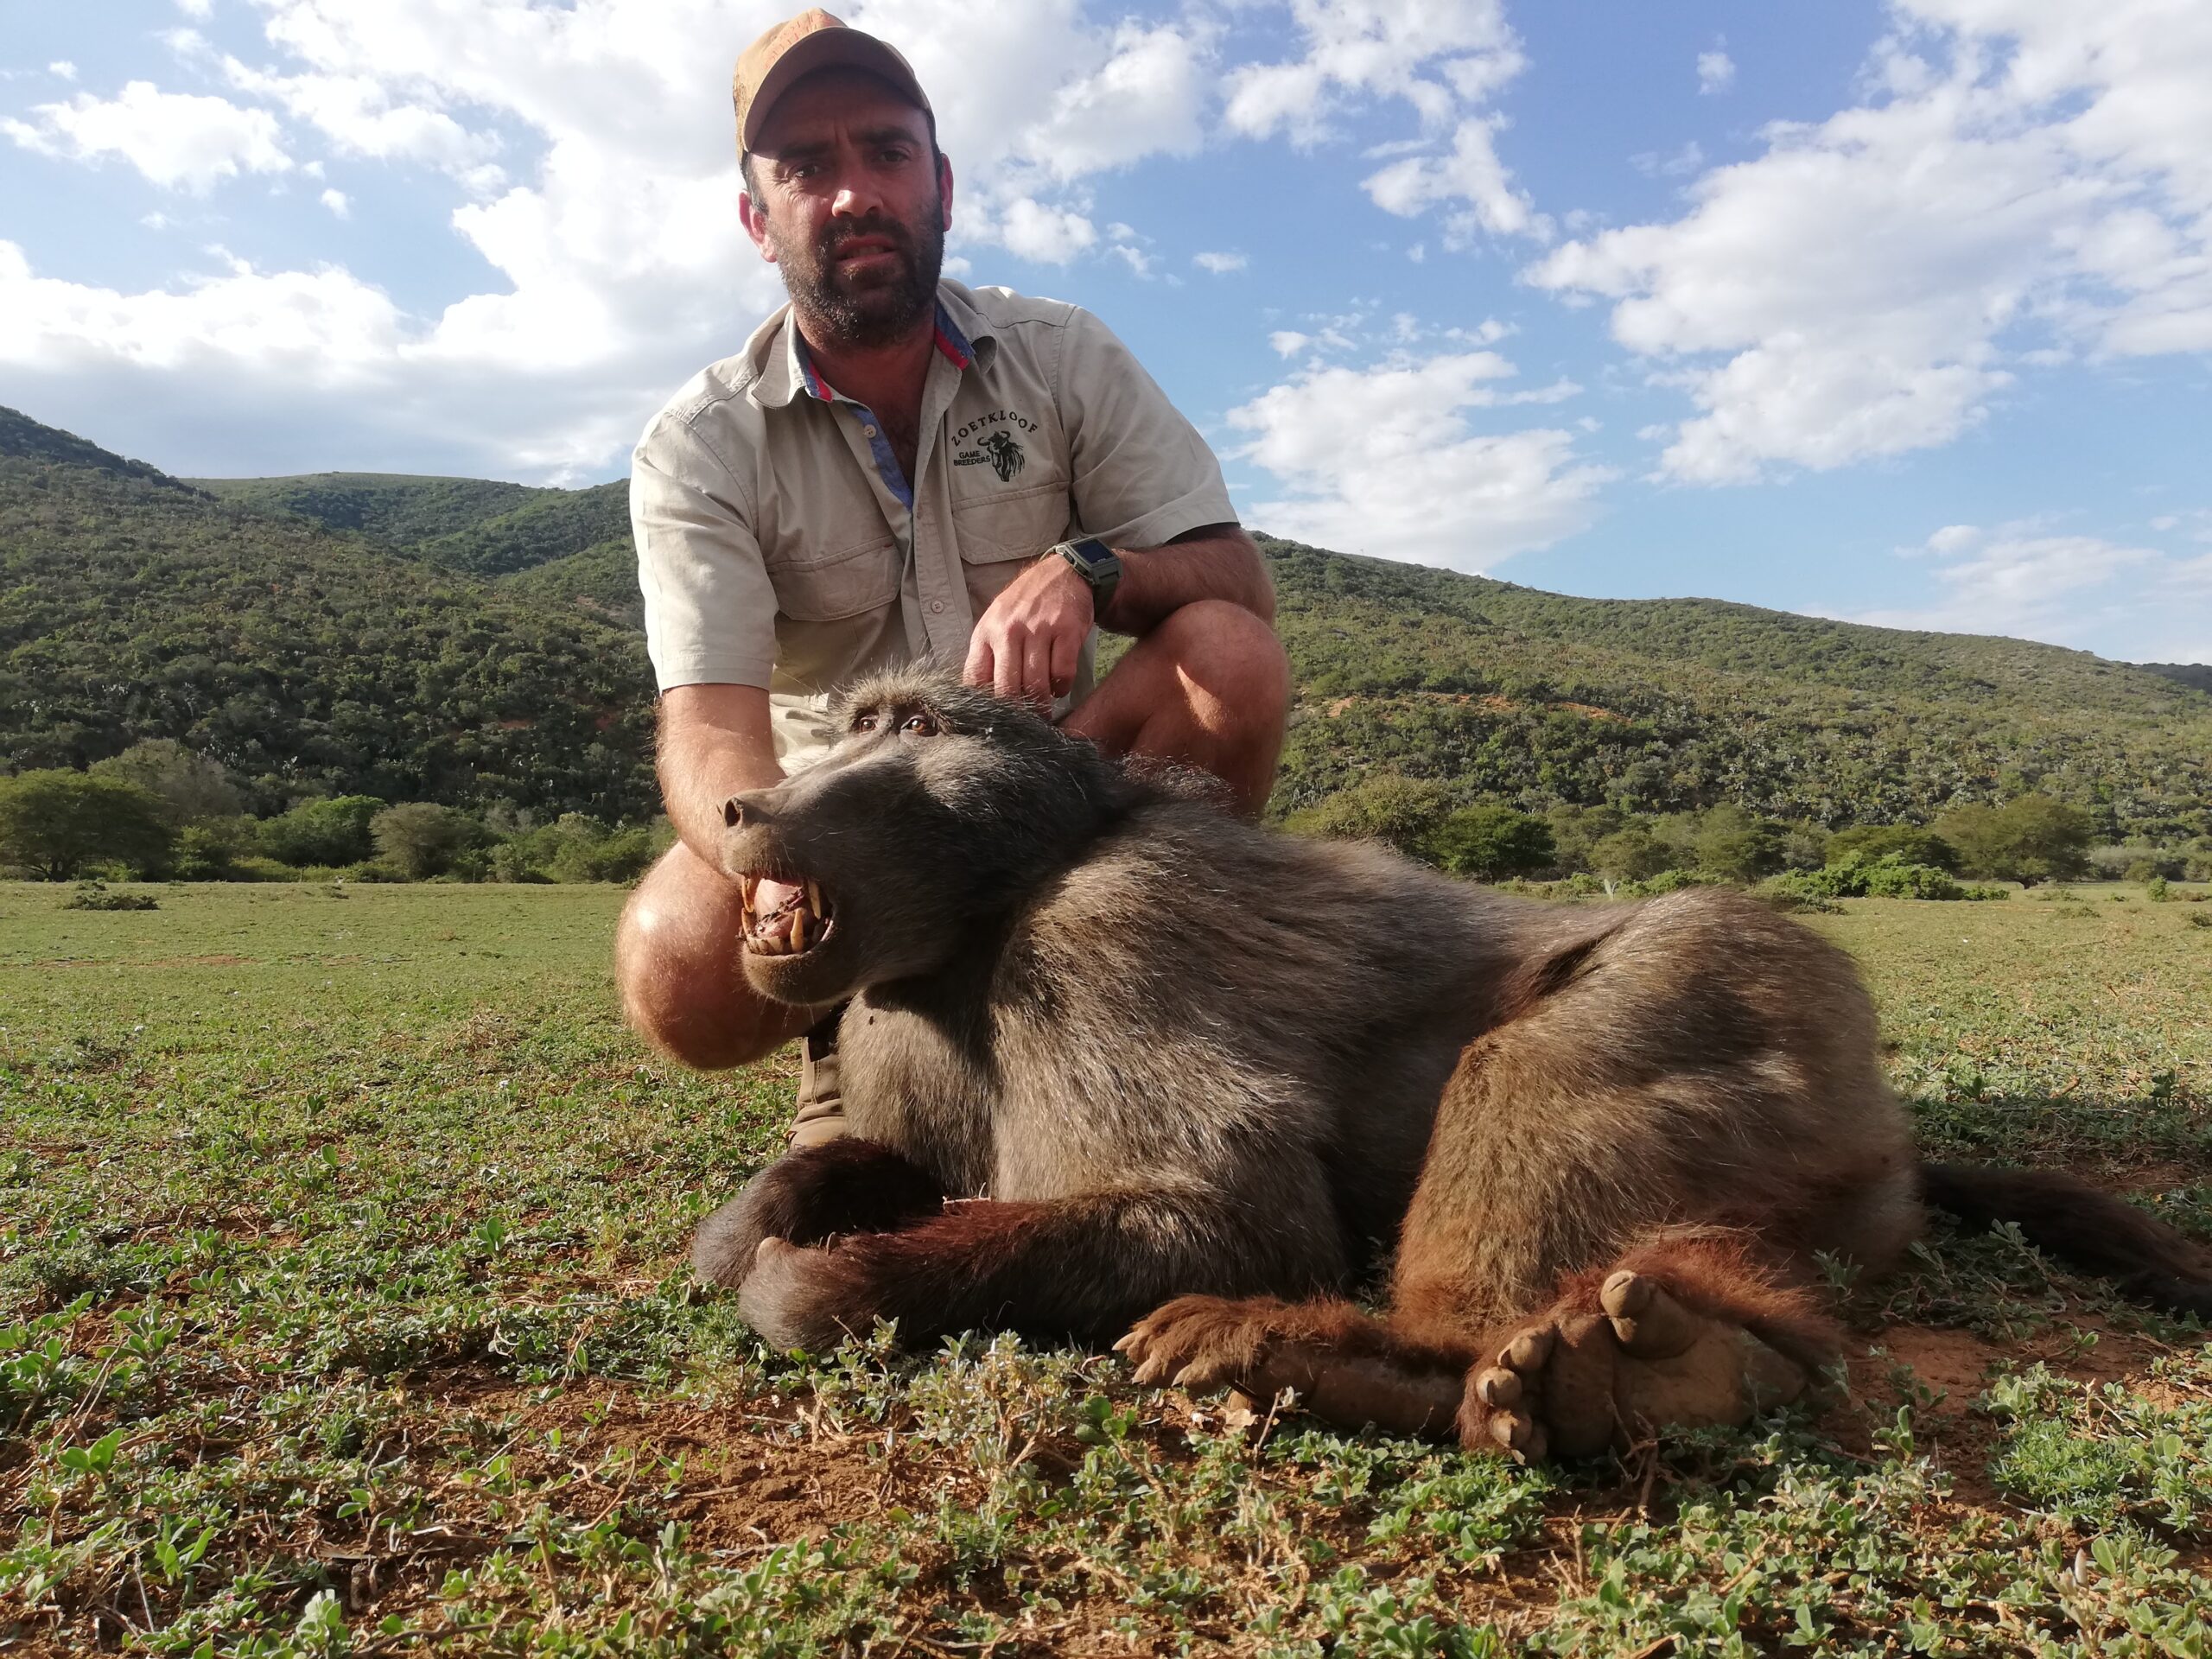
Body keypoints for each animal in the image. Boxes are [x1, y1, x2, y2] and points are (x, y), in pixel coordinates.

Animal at [692, 667, 2212, 1461]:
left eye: (914, 727)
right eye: (850, 720)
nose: (748, 805)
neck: (1000, 898)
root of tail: (1892, 1143)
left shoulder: (1106, 935)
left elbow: (1243, 1218)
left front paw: (811, 1281)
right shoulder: (886, 1026)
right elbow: (863, 1174)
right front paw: (757, 1226)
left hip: (1759, 993)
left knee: (1528, 1073)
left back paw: (1442, 1365)